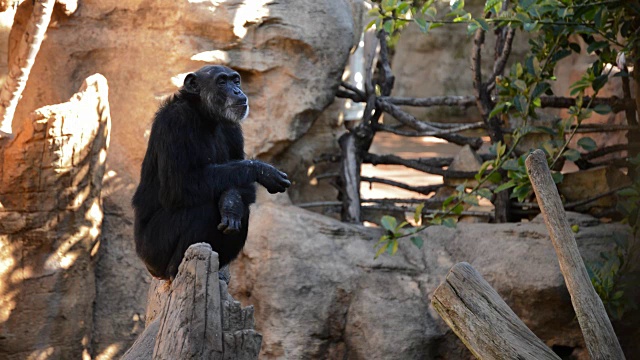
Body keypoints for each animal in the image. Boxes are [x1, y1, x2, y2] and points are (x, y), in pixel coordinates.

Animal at [132, 67, 290, 282]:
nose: (237, 91)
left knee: (242, 209)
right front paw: (262, 169)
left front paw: (231, 202)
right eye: (222, 82)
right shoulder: (174, 122)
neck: (204, 116)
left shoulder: (233, 128)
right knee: (203, 209)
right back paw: (176, 270)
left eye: (236, 81)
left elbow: (243, 185)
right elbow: (180, 185)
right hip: (152, 250)